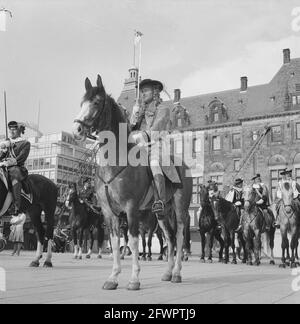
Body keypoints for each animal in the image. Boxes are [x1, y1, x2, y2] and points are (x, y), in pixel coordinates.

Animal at [72, 76, 192, 292]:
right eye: (82, 103)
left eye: (96, 102)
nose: (76, 129)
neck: (115, 162)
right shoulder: (109, 212)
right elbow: (114, 241)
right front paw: (113, 277)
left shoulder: (131, 209)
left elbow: (134, 241)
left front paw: (134, 279)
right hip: (162, 213)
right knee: (169, 238)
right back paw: (168, 273)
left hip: (179, 208)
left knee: (178, 236)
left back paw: (177, 273)